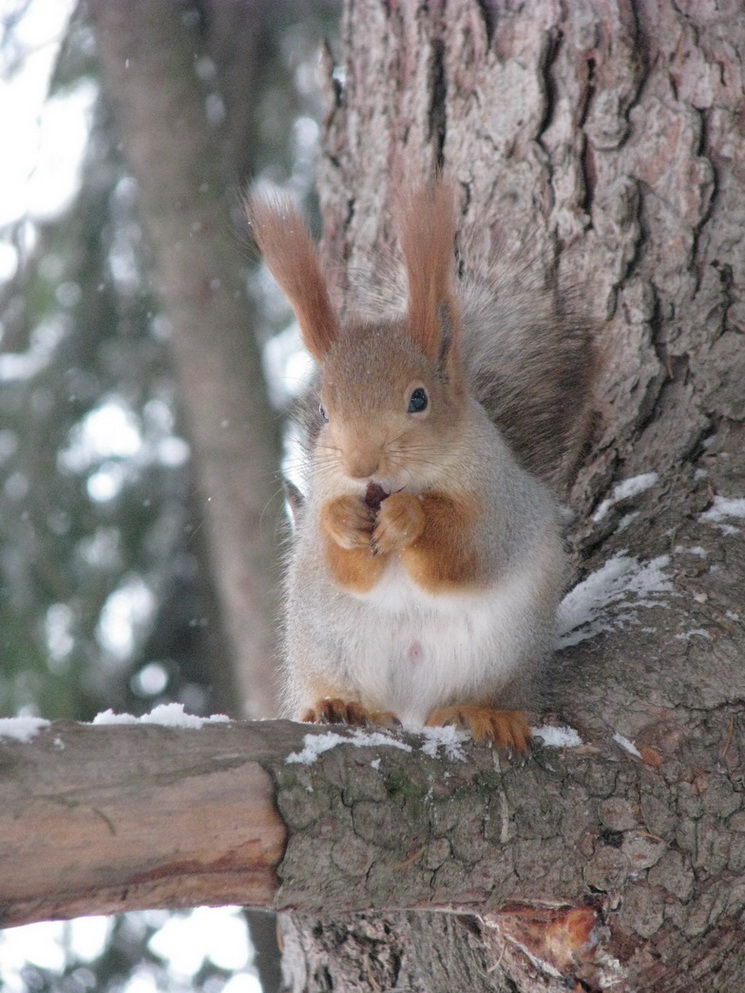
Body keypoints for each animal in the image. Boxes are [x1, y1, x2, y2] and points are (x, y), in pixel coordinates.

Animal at [248, 180, 592, 752]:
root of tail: (408, 707)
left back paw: (480, 712)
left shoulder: (498, 500)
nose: (362, 464)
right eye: (324, 411)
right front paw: (342, 521)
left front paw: (411, 517)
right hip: (326, 646)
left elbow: (468, 549)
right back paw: (343, 704)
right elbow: (345, 564)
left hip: (502, 656)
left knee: (471, 697)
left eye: (418, 399)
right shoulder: (322, 506)